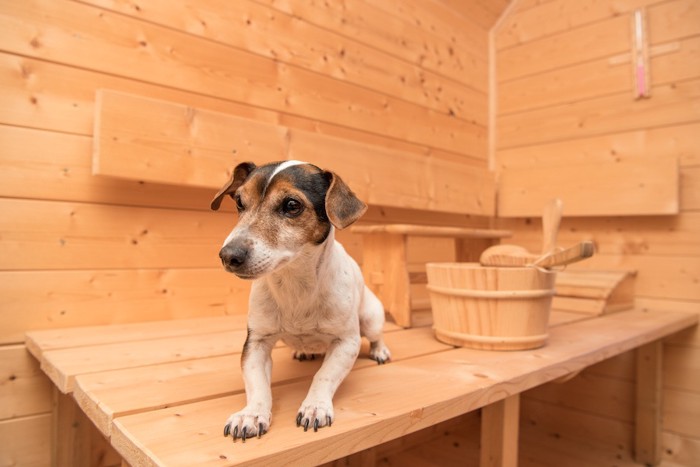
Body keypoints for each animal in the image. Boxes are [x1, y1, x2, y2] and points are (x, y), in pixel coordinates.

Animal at [211, 161, 392, 442]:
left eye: (292, 205)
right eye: (239, 202)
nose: (228, 256)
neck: (295, 285)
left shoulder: (346, 342)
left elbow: (324, 376)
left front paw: (315, 406)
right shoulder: (256, 343)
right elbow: (257, 384)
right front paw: (251, 414)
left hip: (371, 318)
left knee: (376, 336)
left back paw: (380, 351)